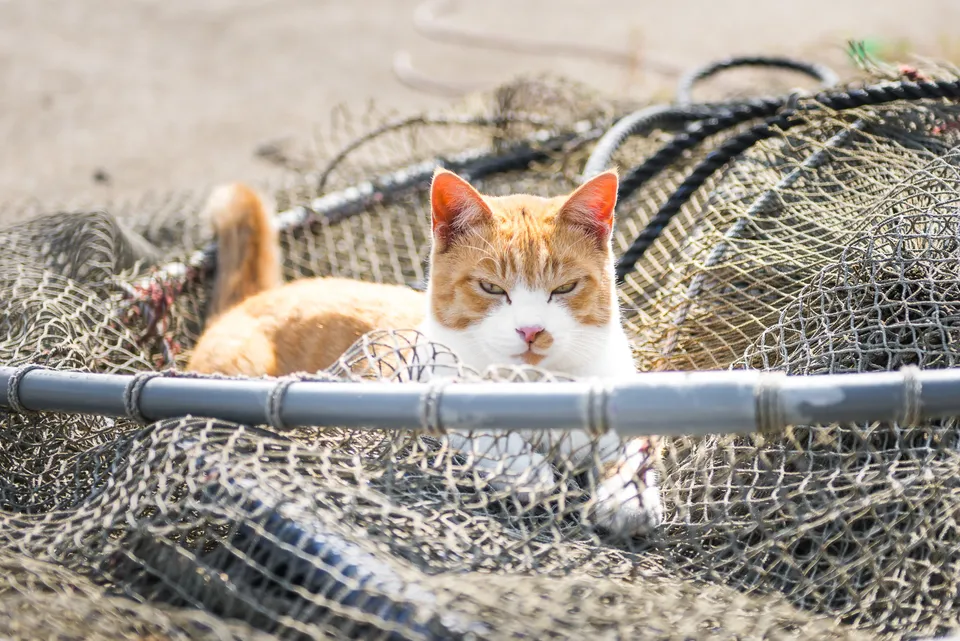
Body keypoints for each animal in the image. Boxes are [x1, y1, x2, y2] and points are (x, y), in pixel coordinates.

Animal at [188, 170, 668, 536]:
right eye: (491, 287)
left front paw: (627, 498)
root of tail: (250, 301)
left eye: (565, 287)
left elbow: (635, 448)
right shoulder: (423, 387)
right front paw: (526, 469)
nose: (532, 331)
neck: (533, 386)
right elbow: (477, 427)